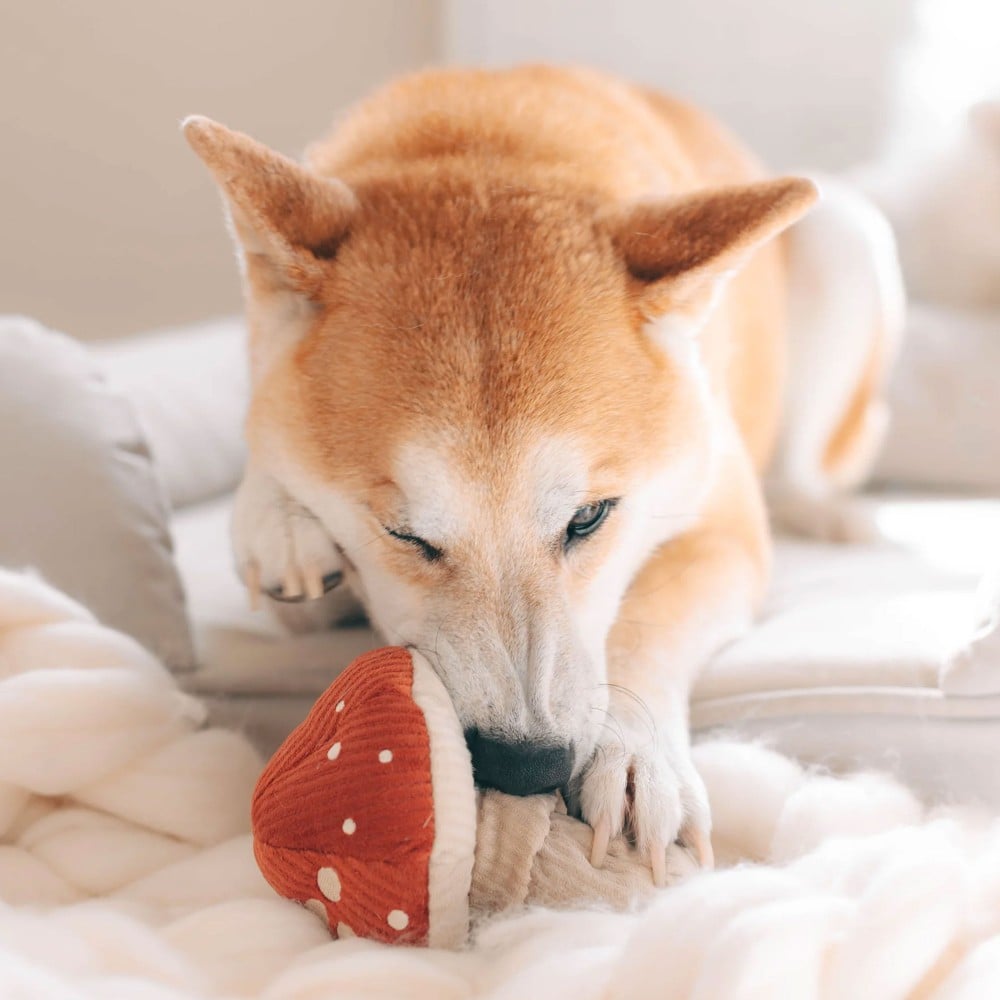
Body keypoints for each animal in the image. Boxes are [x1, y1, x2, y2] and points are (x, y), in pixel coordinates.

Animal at [186, 64, 900, 884]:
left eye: (589, 517)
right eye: (404, 535)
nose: (525, 766)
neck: (490, 134)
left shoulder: (725, 531)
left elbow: (645, 622)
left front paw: (637, 754)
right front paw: (276, 518)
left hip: (847, 235)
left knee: (802, 470)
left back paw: (833, 516)